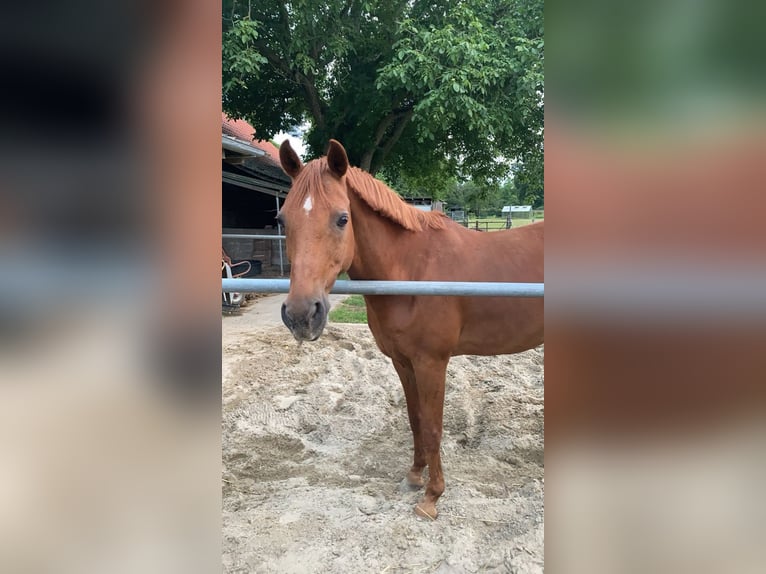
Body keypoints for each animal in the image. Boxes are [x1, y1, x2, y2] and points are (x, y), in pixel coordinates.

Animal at [277, 139, 544, 519]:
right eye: (282, 219)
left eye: (342, 218)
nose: (301, 315)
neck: (412, 269)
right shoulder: (402, 361)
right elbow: (415, 419)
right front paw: (415, 476)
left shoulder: (431, 362)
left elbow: (432, 426)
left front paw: (432, 496)